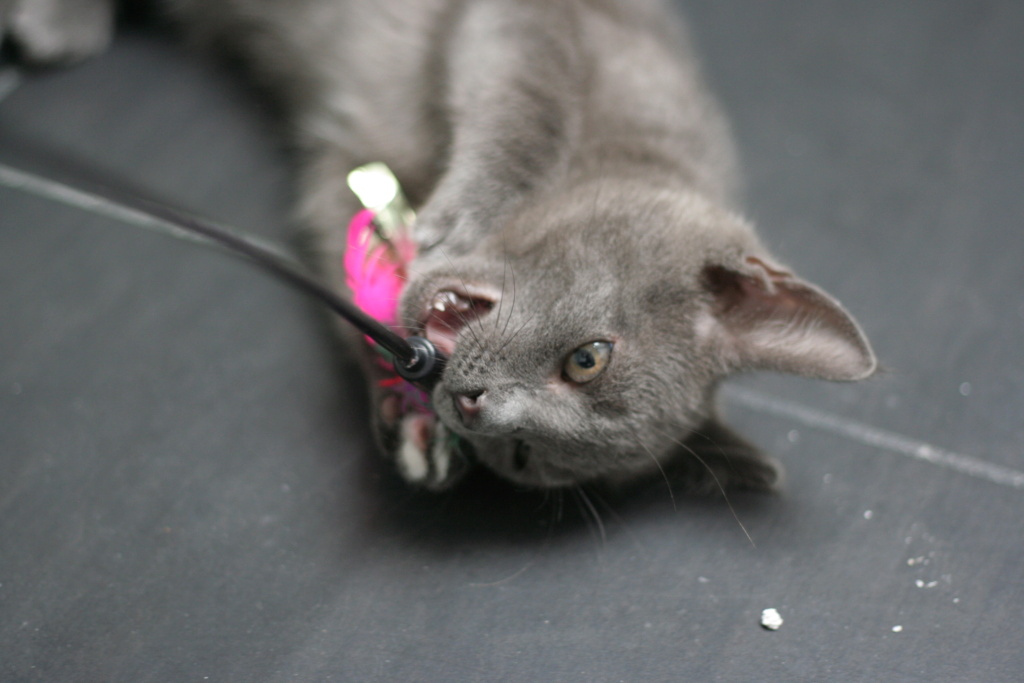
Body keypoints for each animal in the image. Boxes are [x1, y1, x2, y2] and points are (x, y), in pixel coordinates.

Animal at [4, 0, 876, 491]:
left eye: (523, 456)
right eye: (588, 357)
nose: (468, 403)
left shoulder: (339, 166)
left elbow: (346, 270)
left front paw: (412, 422)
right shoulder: (553, 24)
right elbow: (526, 105)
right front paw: (460, 215)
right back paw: (53, 26)